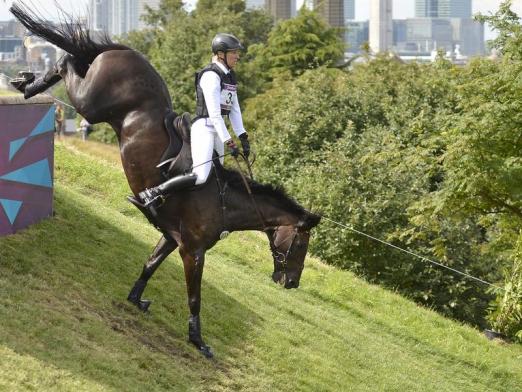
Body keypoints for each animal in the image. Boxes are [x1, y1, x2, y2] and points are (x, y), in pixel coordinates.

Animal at [10, 1, 318, 356]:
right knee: (67, 64)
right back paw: (30, 81)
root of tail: (126, 50)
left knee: (69, 62)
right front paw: (198, 341)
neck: (225, 201)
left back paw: (26, 83)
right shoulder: (193, 251)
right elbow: (195, 298)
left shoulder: (172, 238)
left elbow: (150, 264)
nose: (292, 283)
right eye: (300, 244)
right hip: (92, 105)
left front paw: (135, 299)